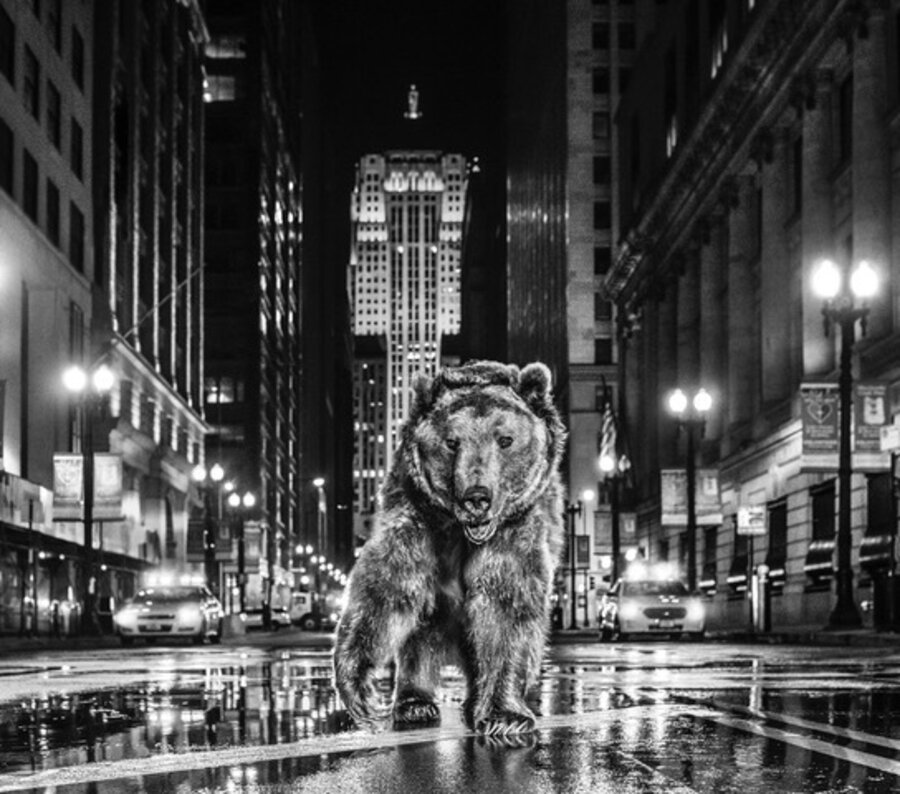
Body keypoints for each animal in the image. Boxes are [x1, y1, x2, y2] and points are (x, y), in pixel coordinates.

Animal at [333, 360, 566, 736]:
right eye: (452, 442)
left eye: (505, 439)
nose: (477, 497)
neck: (461, 532)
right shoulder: (417, 514)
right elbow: (386, 589)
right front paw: (359, 690)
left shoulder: (517, 526)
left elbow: (506, 603)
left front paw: (505, 717)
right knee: (419, 634)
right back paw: (415, 703)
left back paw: (472, 703)